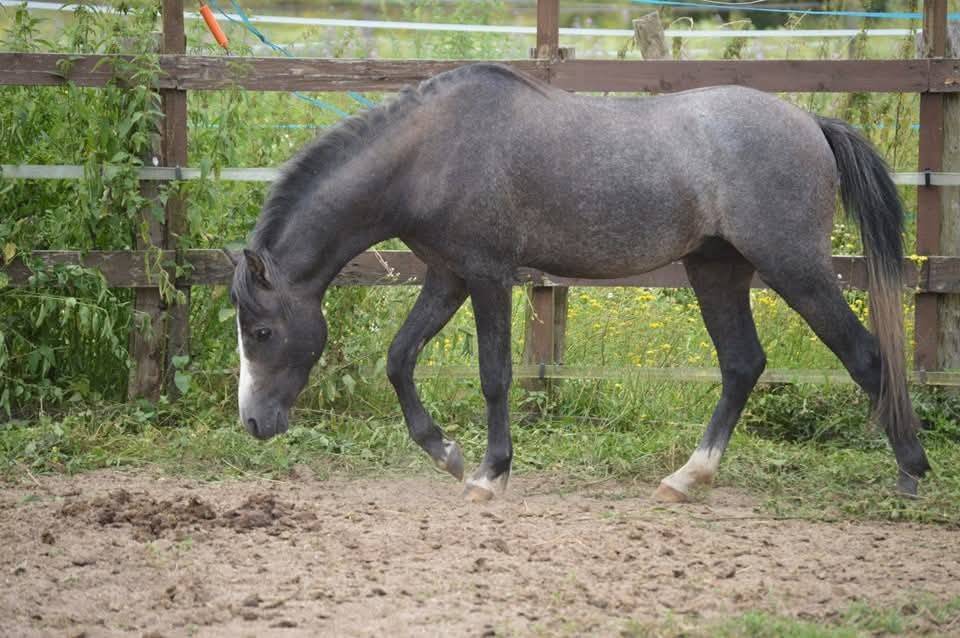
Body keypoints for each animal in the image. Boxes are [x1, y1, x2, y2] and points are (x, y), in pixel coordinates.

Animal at [231, 62, 930, 502]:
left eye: (261, 331)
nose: (254, 423)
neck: (430, 153)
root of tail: (812, 123)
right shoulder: (448, 274)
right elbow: (400, 359)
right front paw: (447, 454)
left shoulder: (487, 276)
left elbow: (494, 375)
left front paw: (489, 474)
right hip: (717, 268)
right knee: (742, 364)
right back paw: (687, 478)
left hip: (795, 267)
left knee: (865, 355)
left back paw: (911, 472)